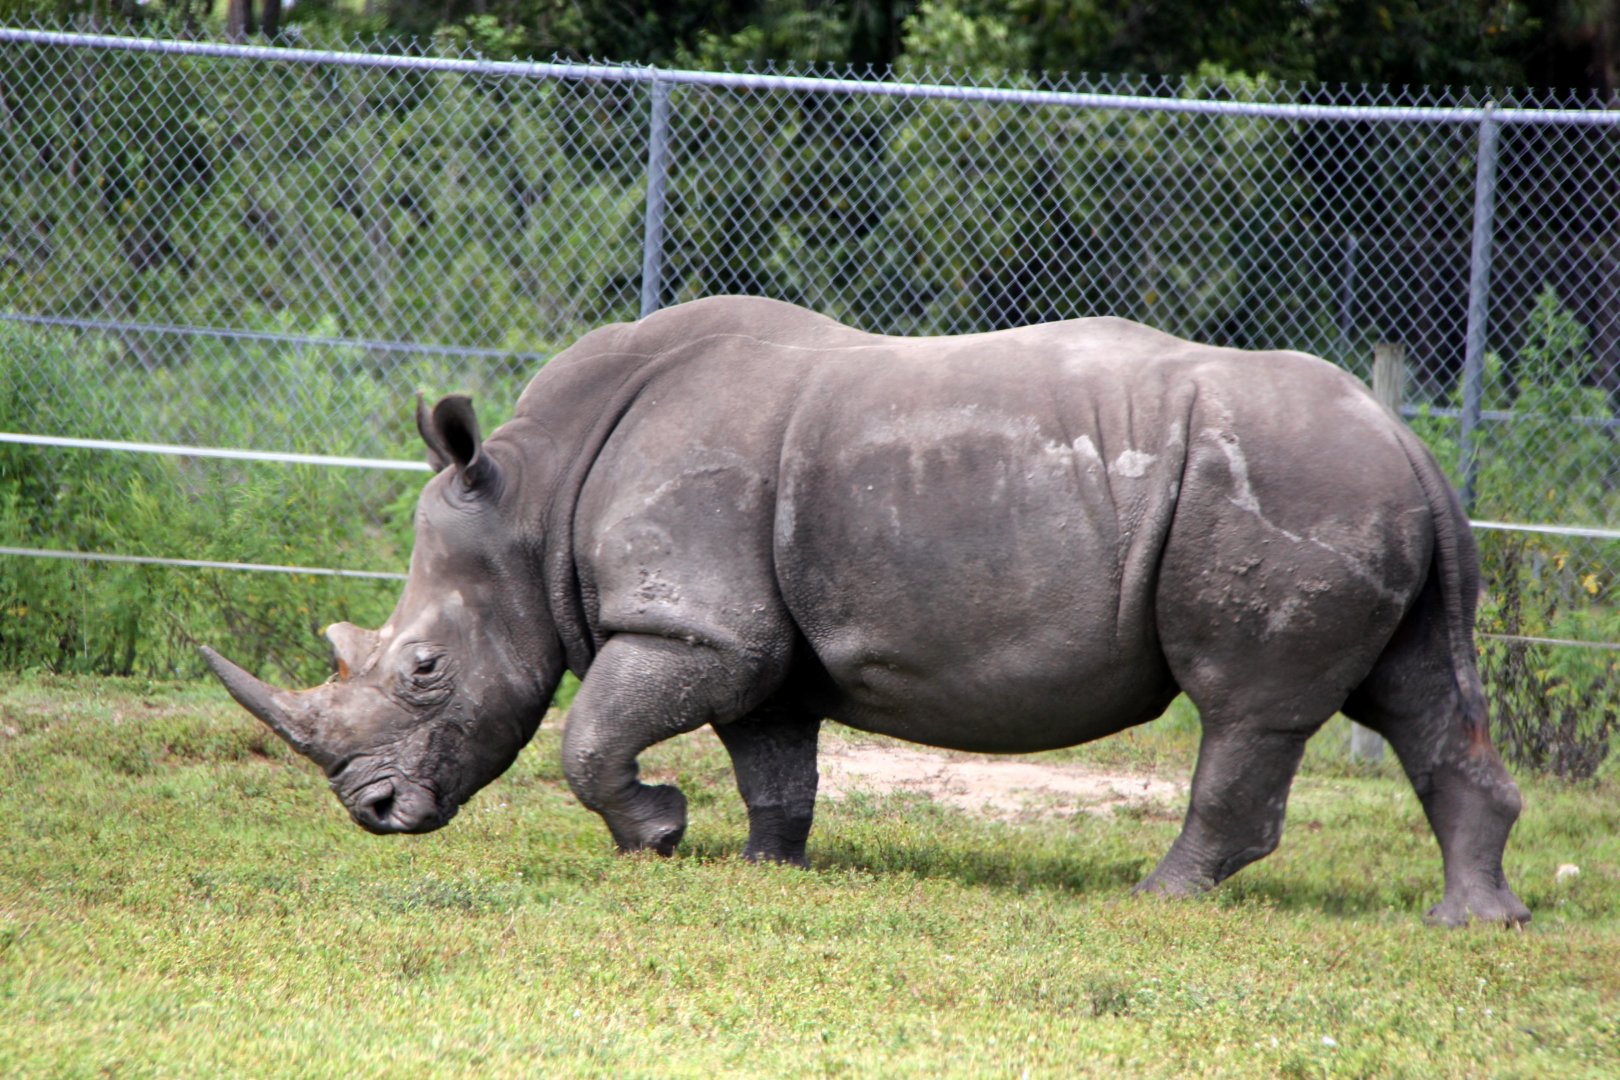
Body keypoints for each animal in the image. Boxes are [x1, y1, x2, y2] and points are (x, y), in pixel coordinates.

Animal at [202, 296, 1529, 926]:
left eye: (424, 669)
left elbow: (590, 739)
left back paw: (1159, 897)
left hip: (1294, 488)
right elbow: (773, 762)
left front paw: (658, 835)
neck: (533, 497)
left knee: (1246, 709)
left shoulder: (694, 620)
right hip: (1358, 498)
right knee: (1420, 698)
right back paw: (1478, 923)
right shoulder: (748, 637)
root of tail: (1412, 448)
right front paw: (761, 865)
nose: (374, 813)